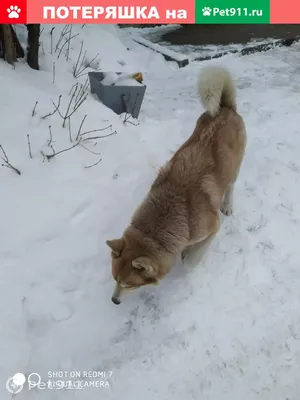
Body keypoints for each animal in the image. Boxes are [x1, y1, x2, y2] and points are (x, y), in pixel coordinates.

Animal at [106, 65, 247, 304]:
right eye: (115, 279)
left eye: (129, 285)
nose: (114, 301)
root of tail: (225, 108)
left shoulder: (212, 227)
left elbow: (191, 260)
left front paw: (188, 257)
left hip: (234, 167)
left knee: (231, 186)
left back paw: (228, 204)